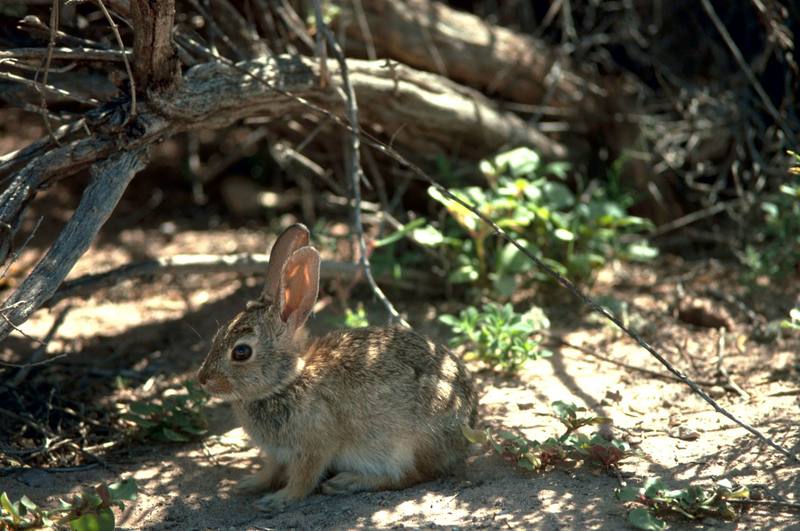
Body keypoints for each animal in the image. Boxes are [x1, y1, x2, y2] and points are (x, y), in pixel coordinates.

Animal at [197, 223, 478, 512]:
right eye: (218, 335)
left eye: (241, 352)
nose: (203, 379)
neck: (289, 381)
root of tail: (468, 422)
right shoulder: (276, 453)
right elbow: (270, 471)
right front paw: (247, 484)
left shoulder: (313, 447)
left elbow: (304, 479)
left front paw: (277, 500)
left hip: (408, 444)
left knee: (412, 476)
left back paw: (348, 482)